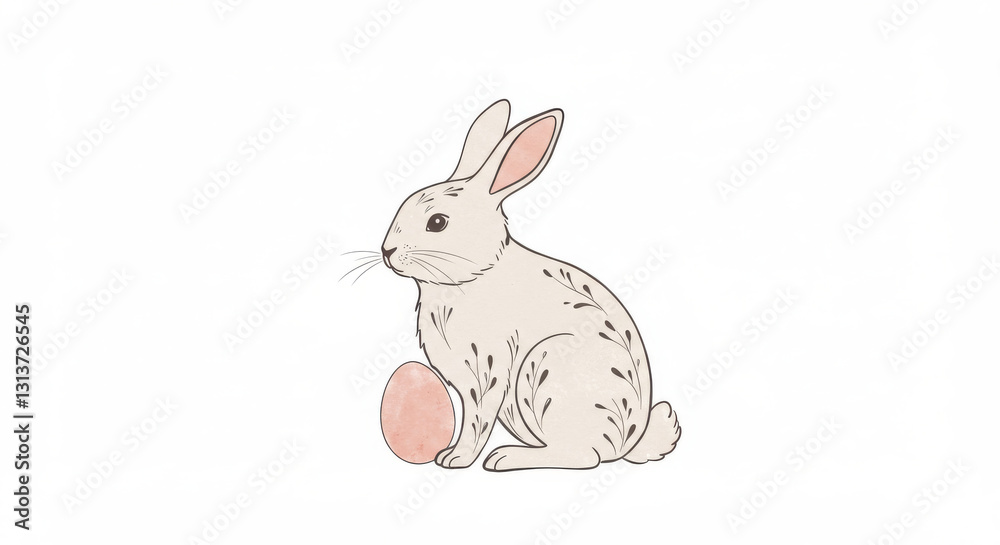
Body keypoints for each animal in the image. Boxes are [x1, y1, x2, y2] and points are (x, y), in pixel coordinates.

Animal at [380, 99, 680, 471]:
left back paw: (505, 457)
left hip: (547, 368)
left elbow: (477, 420)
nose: (386, 251)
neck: (475, 275)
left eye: (437, 222)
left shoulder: (488, 370)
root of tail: (628, 442)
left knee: (582, 457)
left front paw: (456, 458)